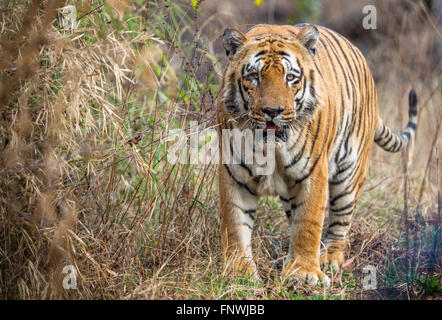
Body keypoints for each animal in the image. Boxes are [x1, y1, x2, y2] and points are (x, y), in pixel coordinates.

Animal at [216, 24, 420, 284]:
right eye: (254, 76)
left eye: (290, 77)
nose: (273, 111)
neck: (270, 149)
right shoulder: (234, 174)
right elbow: (235, 223)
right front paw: (239, 272)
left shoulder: (313, 172)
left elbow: (308, 223)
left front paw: (304, 273)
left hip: (349, 173)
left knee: (340, 221)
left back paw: (329, 258)